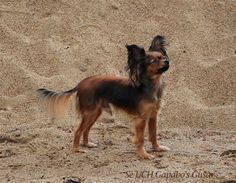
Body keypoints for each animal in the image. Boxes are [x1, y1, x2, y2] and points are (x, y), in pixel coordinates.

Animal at [37, 35, 170, 158]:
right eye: (153, 61)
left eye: (162, 57)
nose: (167, 61)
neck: (150, 85)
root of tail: (79, 84)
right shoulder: (141, 119)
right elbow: (141, 138)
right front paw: (143, 154)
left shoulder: (153, 115)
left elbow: (153, 134)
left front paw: (157, 148)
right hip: (90, 113)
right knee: (78, 130)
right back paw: (77, 149)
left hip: (94, 113)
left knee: (85, 130)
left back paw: (87, 144)